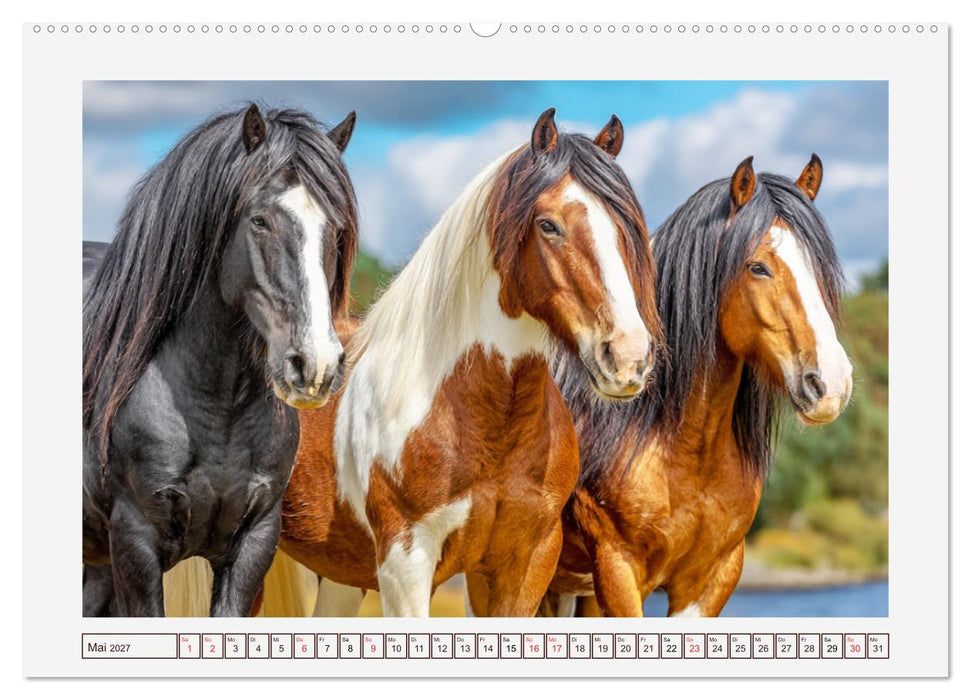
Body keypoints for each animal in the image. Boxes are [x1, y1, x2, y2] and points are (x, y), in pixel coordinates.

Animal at [82, 104, 359, 616]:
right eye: (260, 221)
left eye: (335, 228)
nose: (315, 367)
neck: (217, 408)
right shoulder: (135, 546)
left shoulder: (253, 544)